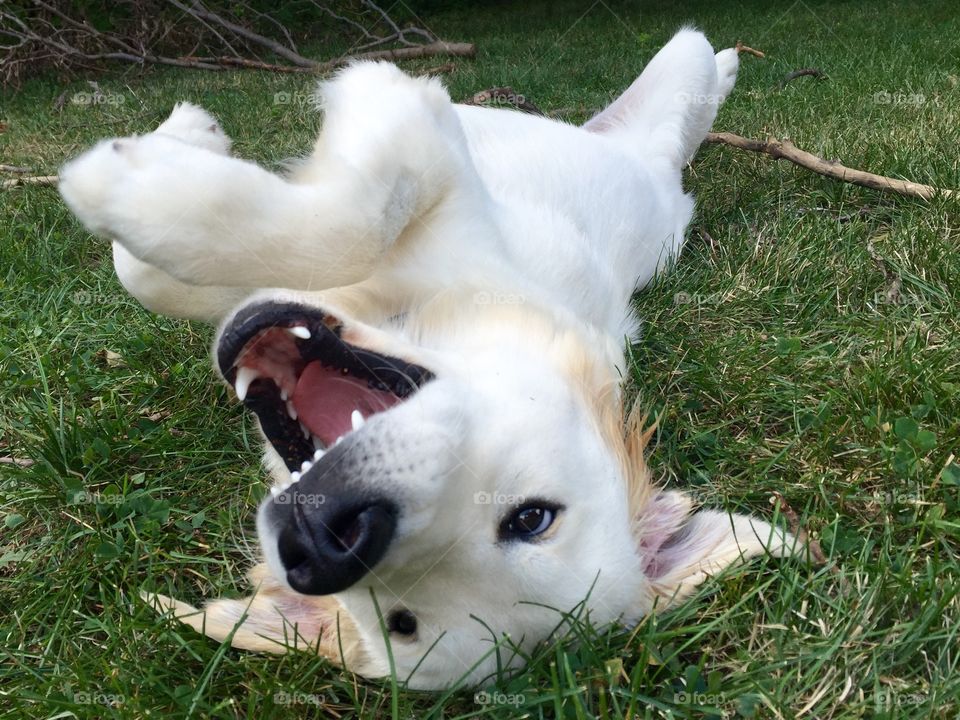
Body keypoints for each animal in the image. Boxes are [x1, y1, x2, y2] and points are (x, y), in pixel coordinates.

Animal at [58, 29, 796, 692]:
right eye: (535, 517)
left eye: (402, 622)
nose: (328, 540)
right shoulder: (421, 134)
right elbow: (192, 264)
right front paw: (158, 166)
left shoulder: (409, 122)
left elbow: (341, 222)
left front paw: (124, 185)